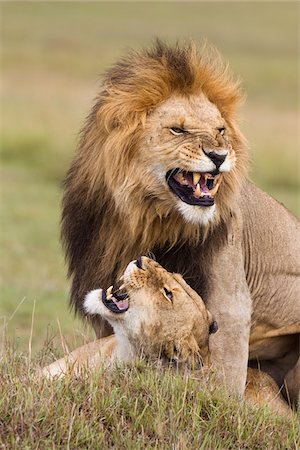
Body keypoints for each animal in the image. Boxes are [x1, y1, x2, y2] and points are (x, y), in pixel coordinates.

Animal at [61, 41, 300, 398]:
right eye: (178, 129)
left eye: (220, 130)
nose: (219, 155)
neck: (145, 219)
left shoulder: (230, 306)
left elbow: (224, 384)